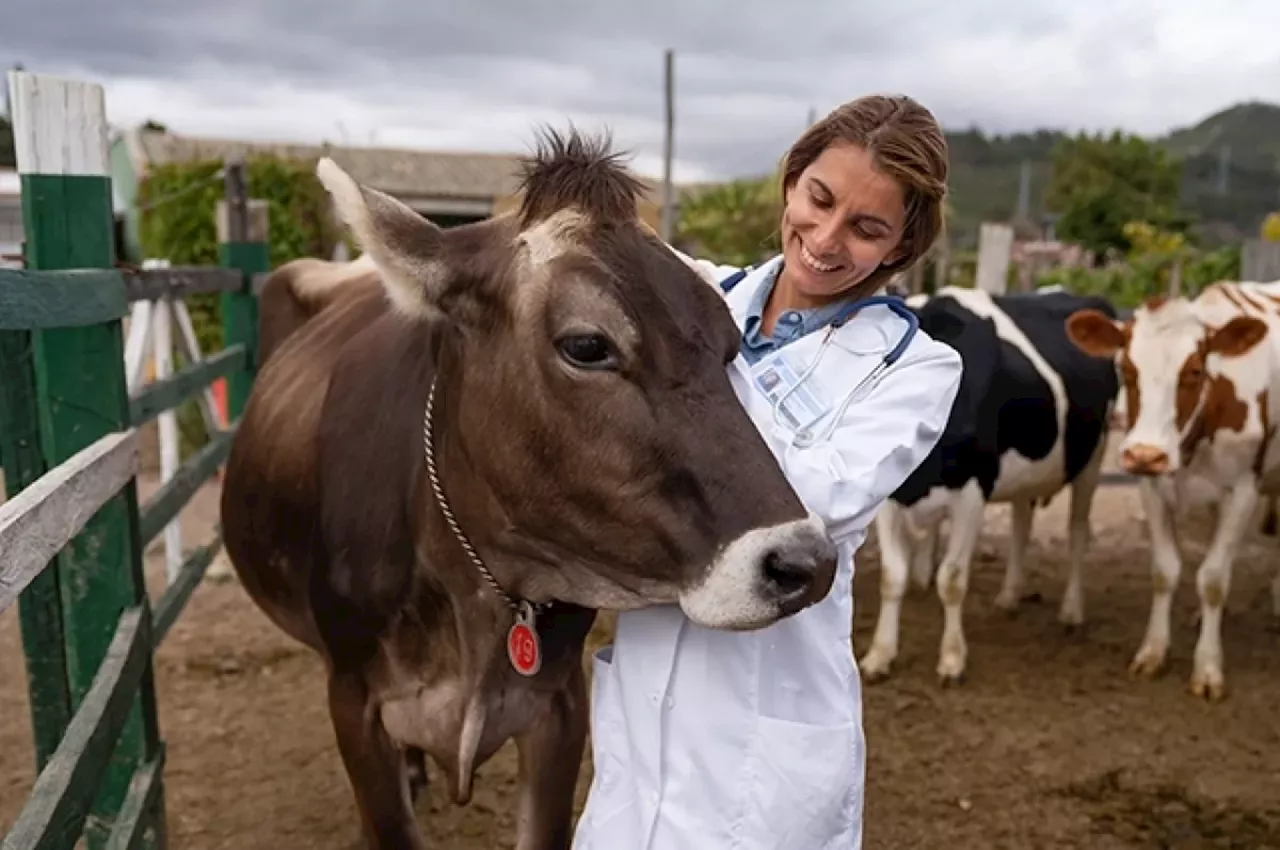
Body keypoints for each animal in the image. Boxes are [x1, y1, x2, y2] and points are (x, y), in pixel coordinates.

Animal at [220, 128, 839, 850]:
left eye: (729, 347)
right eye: (587, 345)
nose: (804, 562)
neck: (471, 592)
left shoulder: (556, 705)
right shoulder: (352, 701)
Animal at [860, 289, 1121, 686]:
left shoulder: (972, 490)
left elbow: (951, 579)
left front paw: (952, 659)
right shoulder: (889, 498)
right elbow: (893, 576)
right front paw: (880, 655)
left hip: (1093, 456)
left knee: (1078, 530)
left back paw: (1072, 611)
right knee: (1021, 525)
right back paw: (1009, 596)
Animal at [1070, 281, 1280, 701]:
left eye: (1195, 371)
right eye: (1126, 368)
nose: (1145, 453)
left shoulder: (1244, 490)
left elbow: (1213, 579)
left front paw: (1208, 668)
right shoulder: (1151, 486)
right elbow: (1165, 571)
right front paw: (1153, 652)